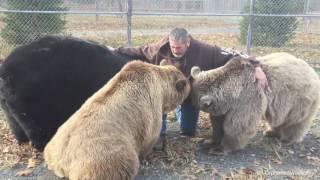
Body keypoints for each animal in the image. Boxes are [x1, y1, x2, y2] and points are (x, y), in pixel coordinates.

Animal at [44, 60, 191, 180]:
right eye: (187, 86)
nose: (189, 88)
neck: (162, 88)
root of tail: (61, 163)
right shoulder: (150, 111)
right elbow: (150, 137)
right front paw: (148, 155)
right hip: (104, 155)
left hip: (55, 142)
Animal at [190, 52, 320, 154]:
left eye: (198, 106)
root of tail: (312, 70)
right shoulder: (227, 105)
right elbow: (218, 122)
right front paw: (209, 141)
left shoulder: (247, 99)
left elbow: (239, 125)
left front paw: (222, 147)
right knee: (280, 119)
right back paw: (270, 131)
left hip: (299, 100)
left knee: (295, 122)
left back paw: (288, 138)